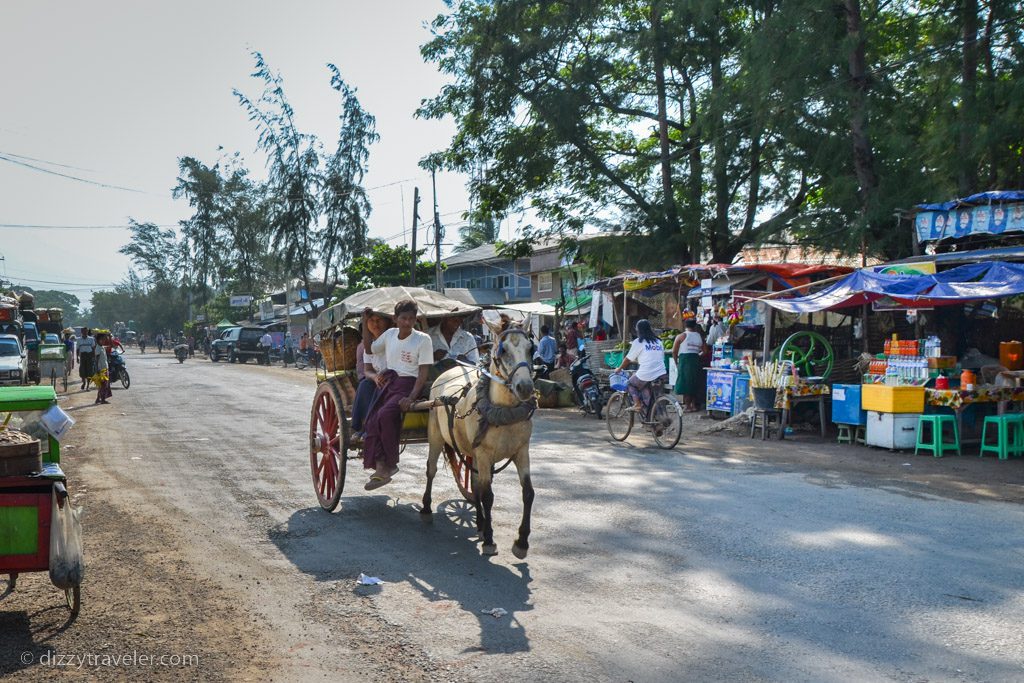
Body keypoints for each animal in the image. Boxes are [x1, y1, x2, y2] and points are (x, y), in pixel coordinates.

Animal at [421, 313, 536, 557]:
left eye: (530, 348)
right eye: (503, 350)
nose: (525, 387)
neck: (504, 411)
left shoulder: (522, 451)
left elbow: (527, 492)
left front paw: (521, 542)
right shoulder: (484, 454)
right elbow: (488, 495)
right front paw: (490, 540)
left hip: (472, 452)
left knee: (474, 484)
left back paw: (481, 524)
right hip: (436, 436)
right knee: (431, 469)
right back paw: (426, 508)